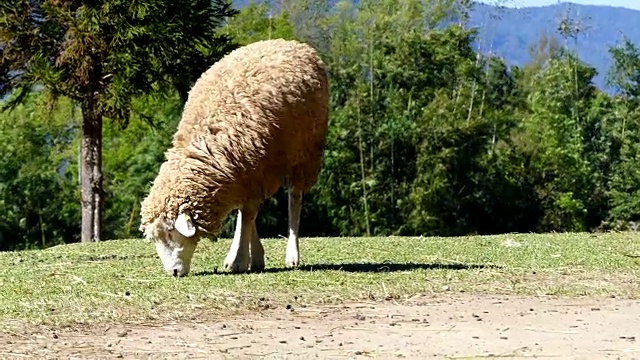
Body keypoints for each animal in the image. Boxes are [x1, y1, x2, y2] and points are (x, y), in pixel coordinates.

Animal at [139, 38, 330, 278]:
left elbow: (248, 214)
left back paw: (292, 254)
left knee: (295, 199)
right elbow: (247, 212)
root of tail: (290, 42)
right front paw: (253, 257)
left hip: (305, 154)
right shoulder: (243, 173)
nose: (173, 272)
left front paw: (239, 259)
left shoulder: (255, 171)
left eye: (171, 233)